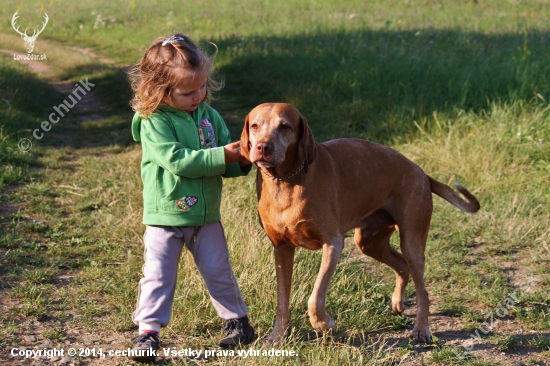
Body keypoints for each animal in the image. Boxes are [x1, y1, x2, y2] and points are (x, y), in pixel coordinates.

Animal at [239, 102, 480, 344]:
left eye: (285, 127)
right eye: (255, 126)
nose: (262, 147)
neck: (284, 182)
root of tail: (421, 172)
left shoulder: (333, 243)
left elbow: (315, 297)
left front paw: (324, 324)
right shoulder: (282, 249)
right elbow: (282, 301)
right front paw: (277, 336)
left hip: (412, 241)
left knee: (423, 290)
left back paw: (421, 328)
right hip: (369, 242)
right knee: (401, 265)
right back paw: (397, 303)